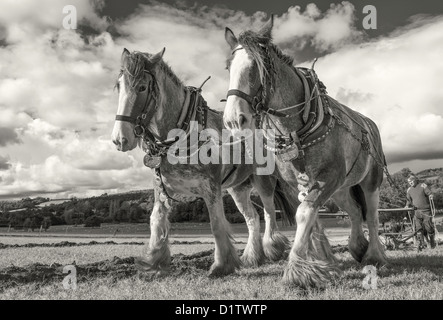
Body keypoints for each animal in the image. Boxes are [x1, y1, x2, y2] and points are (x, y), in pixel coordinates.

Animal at [111, 46, 318, 276]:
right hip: (237, 188)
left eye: (142, 87)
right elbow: (156, 221)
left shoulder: (211, 187)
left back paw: (273, 248)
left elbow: (217, 224)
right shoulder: (162, 189)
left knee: (269, 213)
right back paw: (252, 257)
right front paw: (153, 262)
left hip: (263, 181)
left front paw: (222, 265)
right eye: (119, 86)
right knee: (252, 218)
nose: (120, 139)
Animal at [224, 16, 390, 288]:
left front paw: (298, 271)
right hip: (342, 188)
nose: (234, 119)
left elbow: (304, 214)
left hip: (371, 180)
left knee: (373, 216)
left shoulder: (327, 177)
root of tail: (369, 122)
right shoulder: (298, 183)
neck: (297, 130)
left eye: (260, 66)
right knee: (355, 212)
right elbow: (313, 218)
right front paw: (322, 262)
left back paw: (374, 255)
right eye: (228, 67)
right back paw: (357, 247)